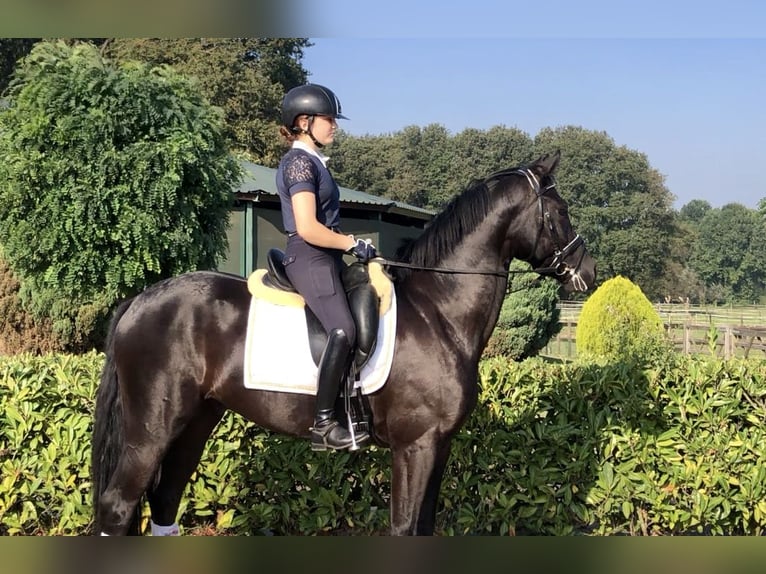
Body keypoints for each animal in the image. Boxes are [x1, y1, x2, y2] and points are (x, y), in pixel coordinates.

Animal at [88, 152, 592, 536]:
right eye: (561, 211)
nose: (586, 272)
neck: (438, 310)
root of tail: (140, 300)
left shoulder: (439, 446)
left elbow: (424, 527)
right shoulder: (415, 446)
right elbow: (404, 528)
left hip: (196, 421)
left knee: (164, 501)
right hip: (151, 428)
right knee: (118, 505)